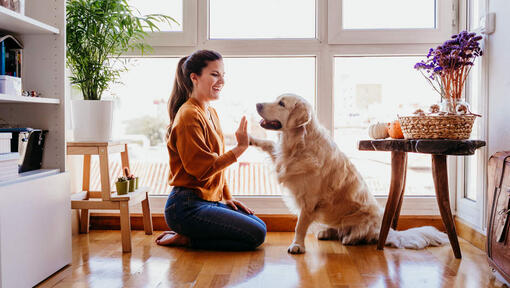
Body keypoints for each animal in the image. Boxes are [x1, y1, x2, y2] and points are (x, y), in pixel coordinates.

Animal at [249, 93, 448, 253]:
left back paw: (350, 239)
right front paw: (249, 138)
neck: (298, 144)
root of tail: (387, 230)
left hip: (363, 219)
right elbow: (268, 144)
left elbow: (300, 226)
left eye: (281, 103)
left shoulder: (309, 201)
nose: (257, 104)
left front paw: (297, 245)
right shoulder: (281, 159)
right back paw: (326, 232)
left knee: (363, 235)